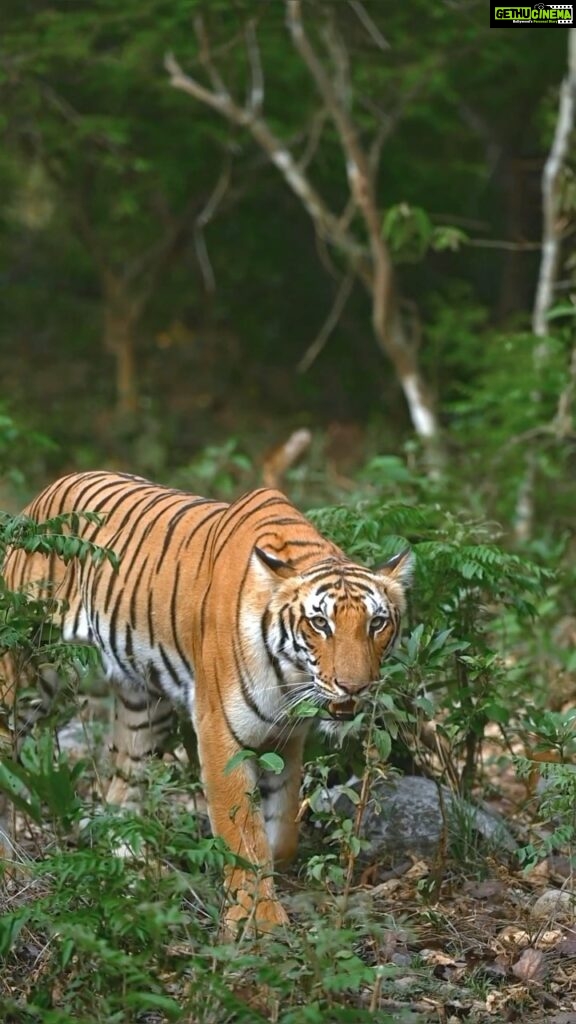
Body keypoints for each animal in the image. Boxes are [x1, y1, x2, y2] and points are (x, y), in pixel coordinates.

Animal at [0, 471, 412, 937]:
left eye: (376, 623)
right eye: (320, 622)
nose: (354, 687)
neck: (291, 678)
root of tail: (49, 490)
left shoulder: (284, 737)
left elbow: (281, 827)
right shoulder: (220, 732)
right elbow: (243, 836)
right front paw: (259, 922)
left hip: (145, 705)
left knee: (123, 784)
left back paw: (130, 866)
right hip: (28, 670)